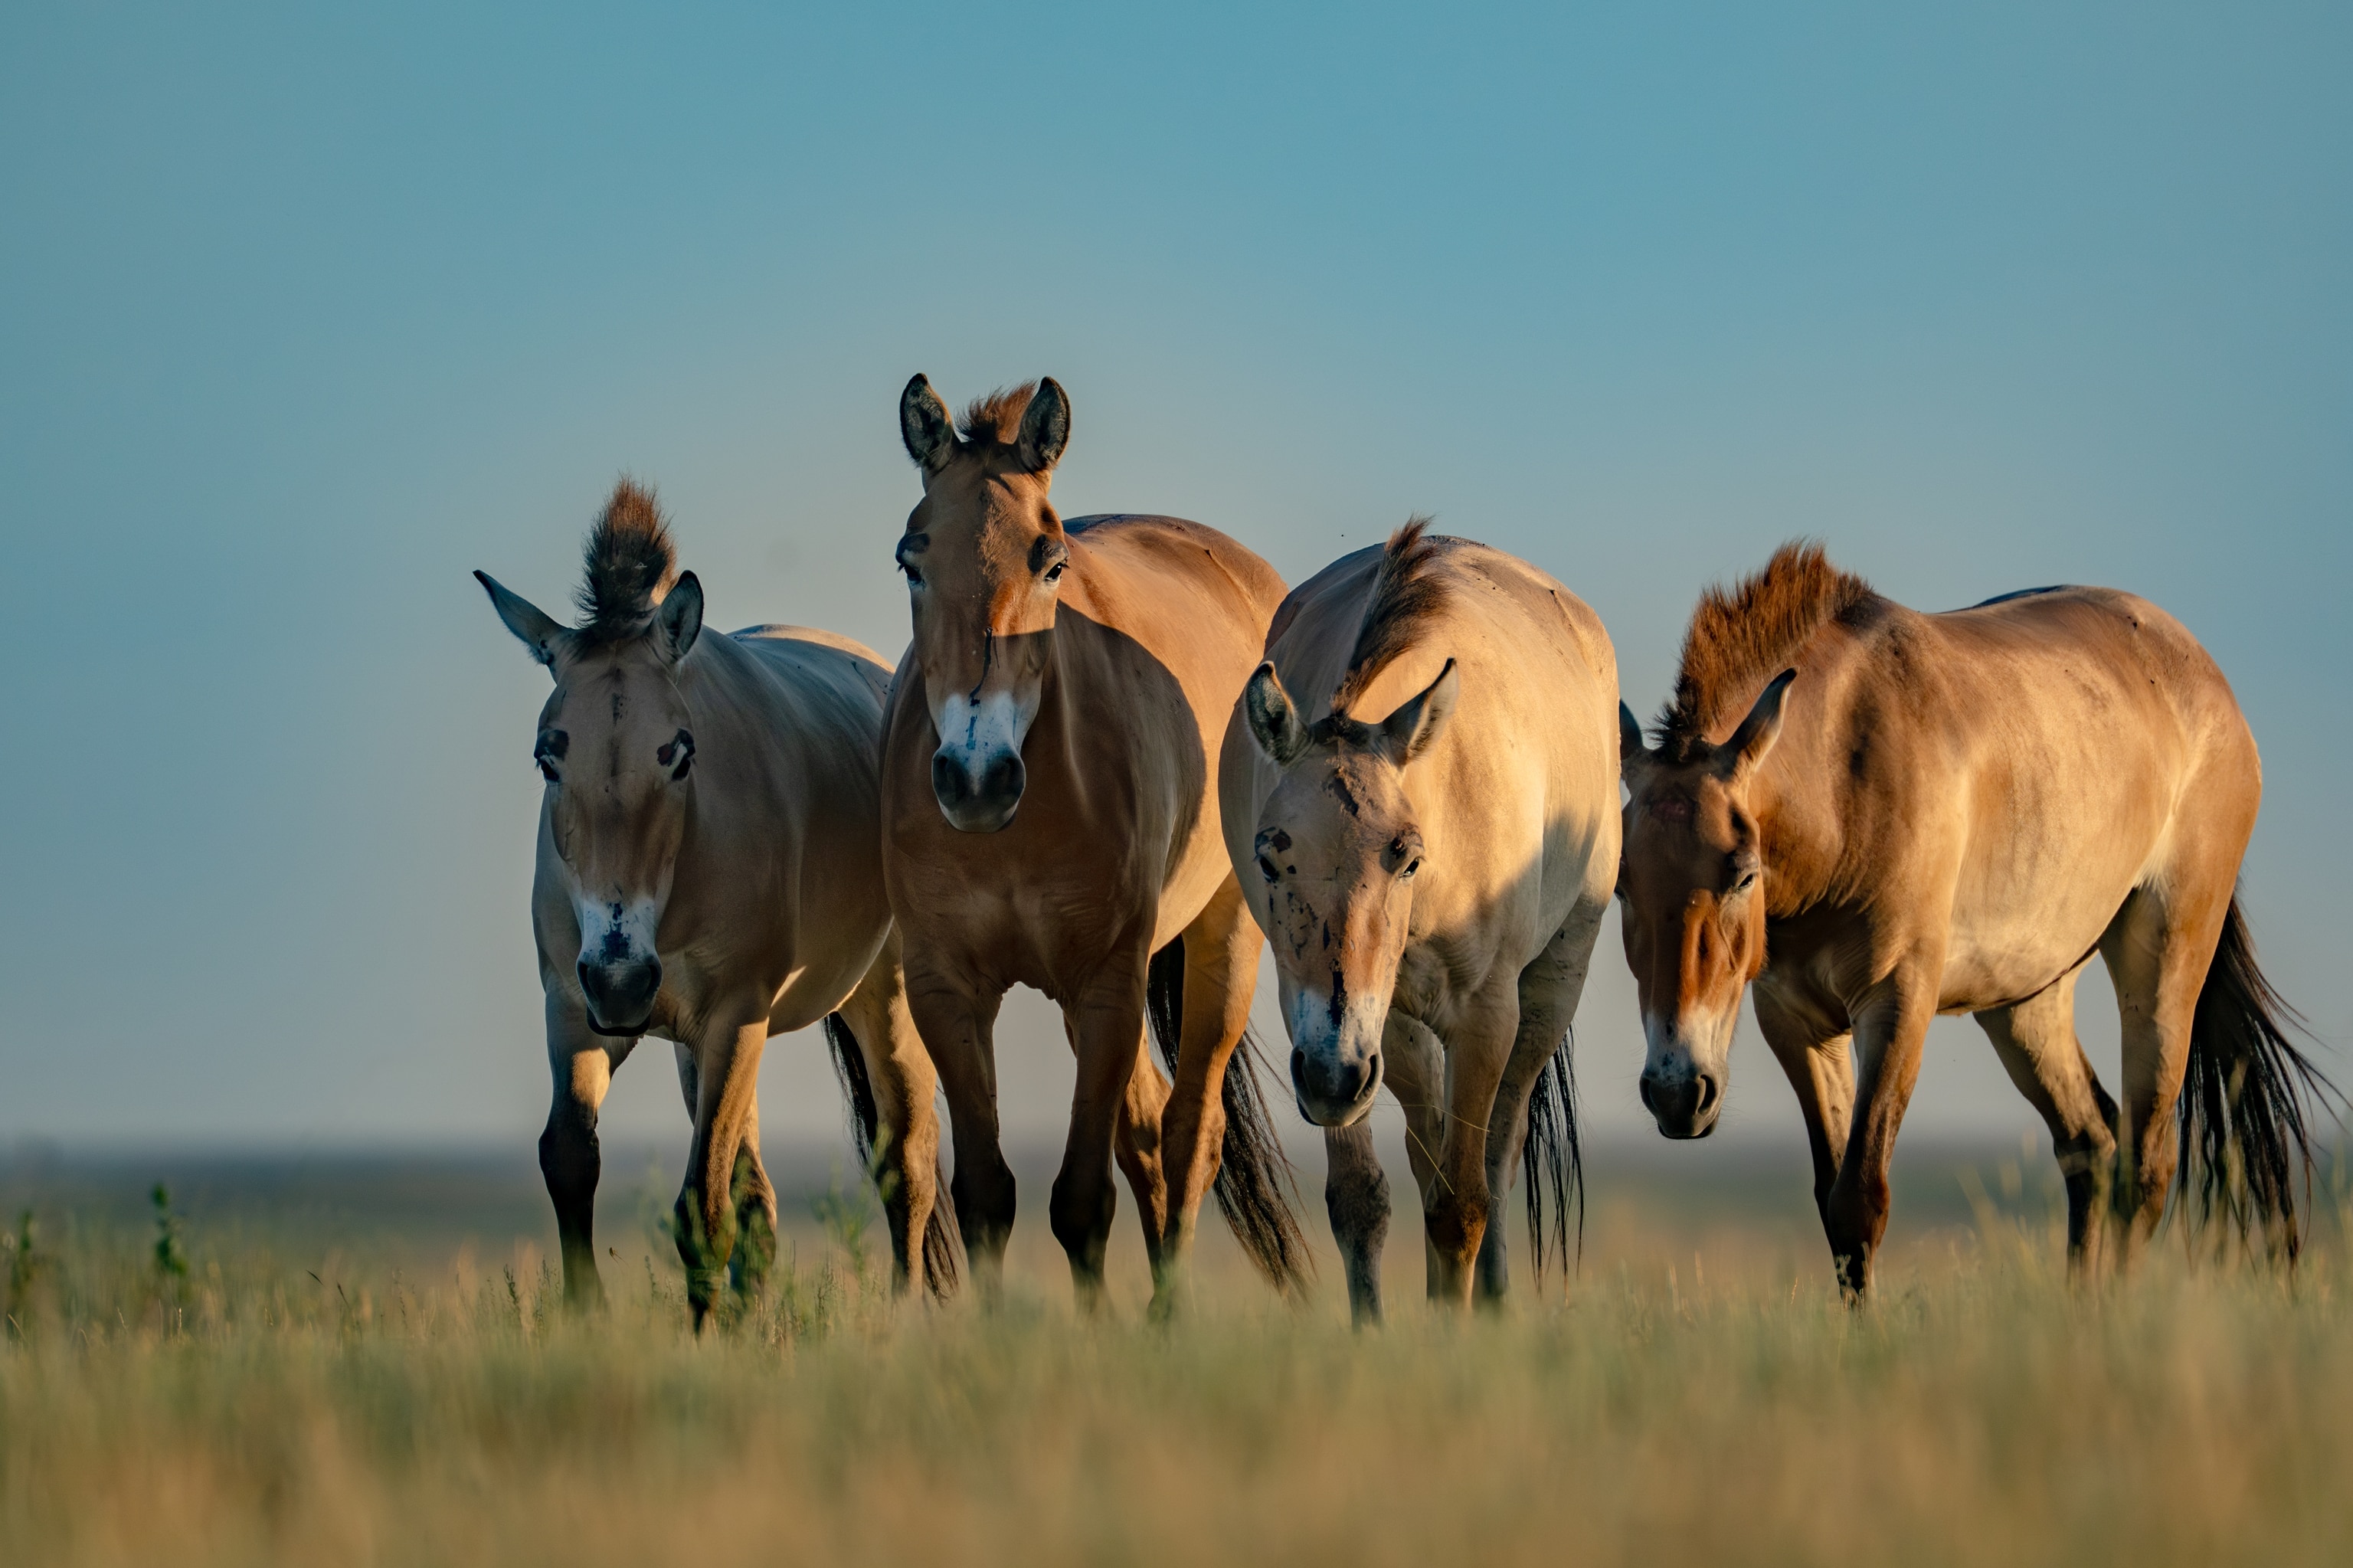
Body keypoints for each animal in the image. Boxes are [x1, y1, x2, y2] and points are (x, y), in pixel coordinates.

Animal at [476, 480, 959, 1324]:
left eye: (679, 751)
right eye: (547, 754)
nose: (621, 979)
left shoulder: (735, 1016)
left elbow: (702, 1207)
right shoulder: (575, 1008)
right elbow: (570, 1157)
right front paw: (587, 1321)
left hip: (885, 1002)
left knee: (907, 1165)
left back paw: (901, 1320)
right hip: (693, 1046)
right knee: (762, 1199)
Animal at [883, 375, 1309, 1313]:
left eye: (1051, 564)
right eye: (911, 561)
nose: (976, 780)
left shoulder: (1108, 982)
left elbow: (1081, 1199)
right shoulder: (946, 991)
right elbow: (988, 1194)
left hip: (1221, 942)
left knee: (1188, 1134)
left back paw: (1166, 1313)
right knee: (1147, 1131)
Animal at [1223, 521, 1620, 1322]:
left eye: (1406, 857)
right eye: (1270, 857)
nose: (1334, 1078)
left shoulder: (1484, 1018)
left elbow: (1464, 1200)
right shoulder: (1358, 1024)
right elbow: (1364, 1200)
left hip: (1550, 989)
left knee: (1497, 1157)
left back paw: (1491, 1304)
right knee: (1427, 1155)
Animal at [1616, 542, 2336, 1294]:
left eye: (1743, 874)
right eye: (1621, 886)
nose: (1676, 1092)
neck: (1846, 774)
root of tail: (2205, 678)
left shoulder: (1897, 1001)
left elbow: (1859, 1198)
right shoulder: (1795, 1021)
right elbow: (1834, 1208)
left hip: (2165, 963)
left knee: (2146, 1165)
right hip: (2027, 1000)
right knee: (2092, 1144)